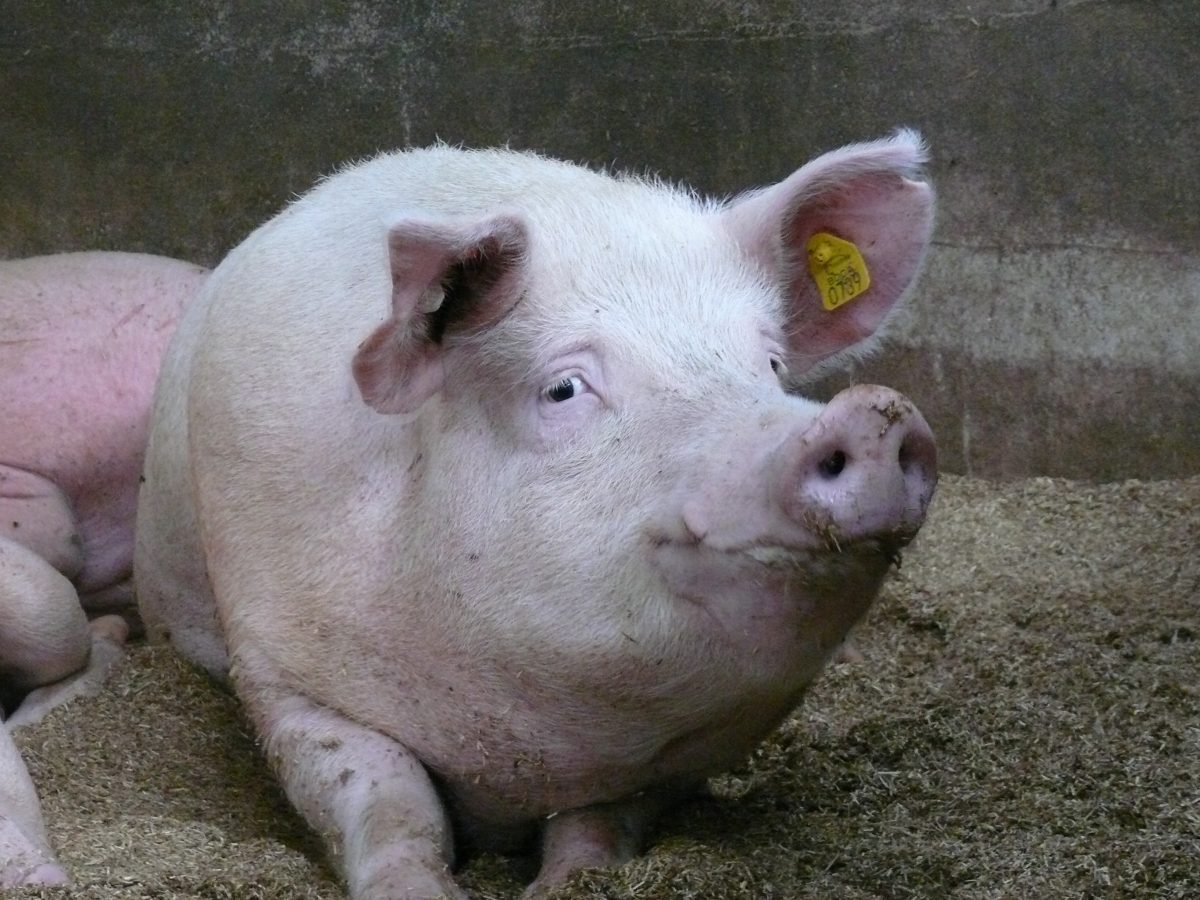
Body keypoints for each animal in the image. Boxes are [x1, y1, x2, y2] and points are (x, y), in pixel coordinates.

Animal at [135, 132, 937, 898]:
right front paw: (421, 892)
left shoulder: (671, 761)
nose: (873, 413)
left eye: (768, 366)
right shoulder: (280, 673)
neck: (515, 750)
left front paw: (570, 882)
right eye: (563, 388)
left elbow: (598, 822)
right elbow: (386, 793)